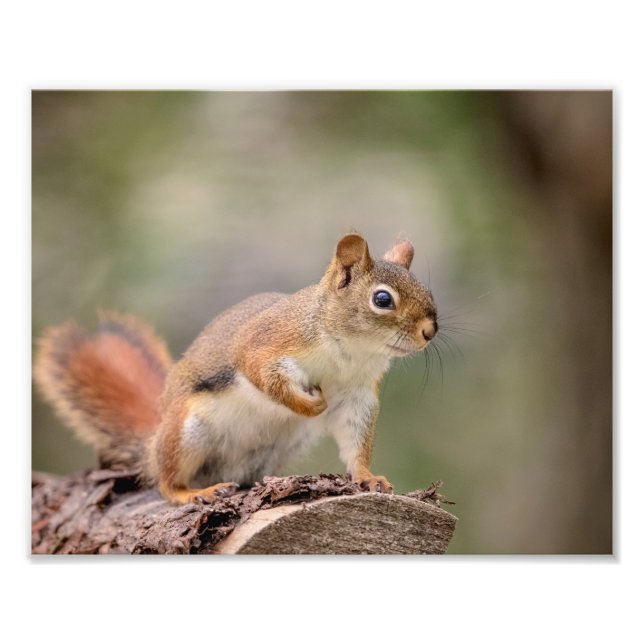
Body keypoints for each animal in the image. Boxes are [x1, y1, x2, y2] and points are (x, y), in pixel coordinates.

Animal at [34, 233, 438, 505]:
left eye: (428, 292)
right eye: (382, 299)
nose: (430, 331)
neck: (351, 352)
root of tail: (152, 441)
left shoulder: (357, 395)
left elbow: (355, 440)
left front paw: (368, 478)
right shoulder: (266, 342)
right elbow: (264, 376)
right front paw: (309, 405)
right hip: (186, 432)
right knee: (165, 480)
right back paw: (189, 493)